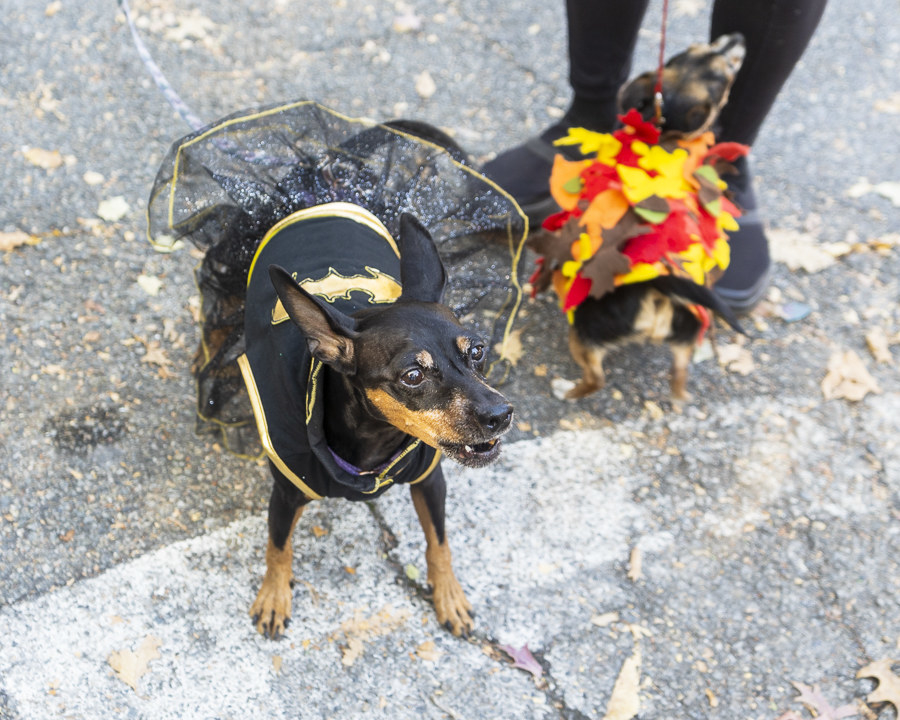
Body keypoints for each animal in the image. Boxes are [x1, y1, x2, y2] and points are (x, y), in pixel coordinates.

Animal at [239, 205, 512, 640]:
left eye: (478, 351)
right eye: (413, 375)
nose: (501, 414)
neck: (375, 440)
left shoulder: (430, 480)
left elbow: (440, 544)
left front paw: (449, 595)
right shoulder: (285, 493)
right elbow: (277, 547)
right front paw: (273, 595)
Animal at [536, 33, 744, 402]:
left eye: (727, 76)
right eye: (688, 52)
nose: (737, 37)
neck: (664, 138)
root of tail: (654, 285)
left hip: (584, 331)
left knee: (595, 379)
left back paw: (565, 390)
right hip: (686, 335)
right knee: (679, 380)